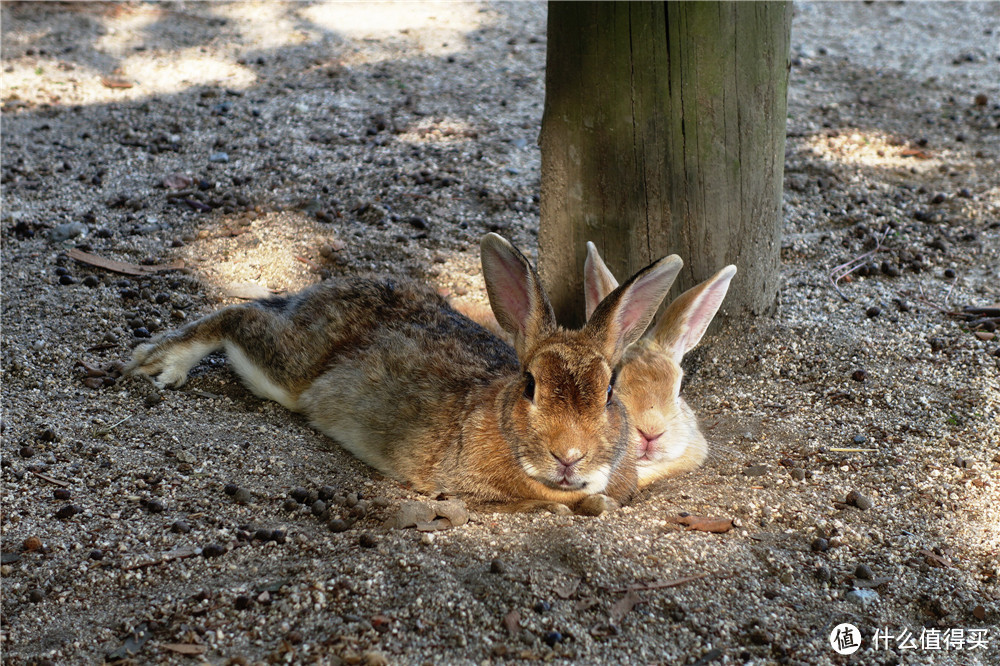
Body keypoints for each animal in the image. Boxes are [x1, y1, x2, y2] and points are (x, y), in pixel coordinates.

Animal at [127, 233, 680, 512]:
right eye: (530, 386)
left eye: (609, 392)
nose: (569, 456)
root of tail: (324, 290)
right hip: (289, 371)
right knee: (240, 318)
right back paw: (158, 363)